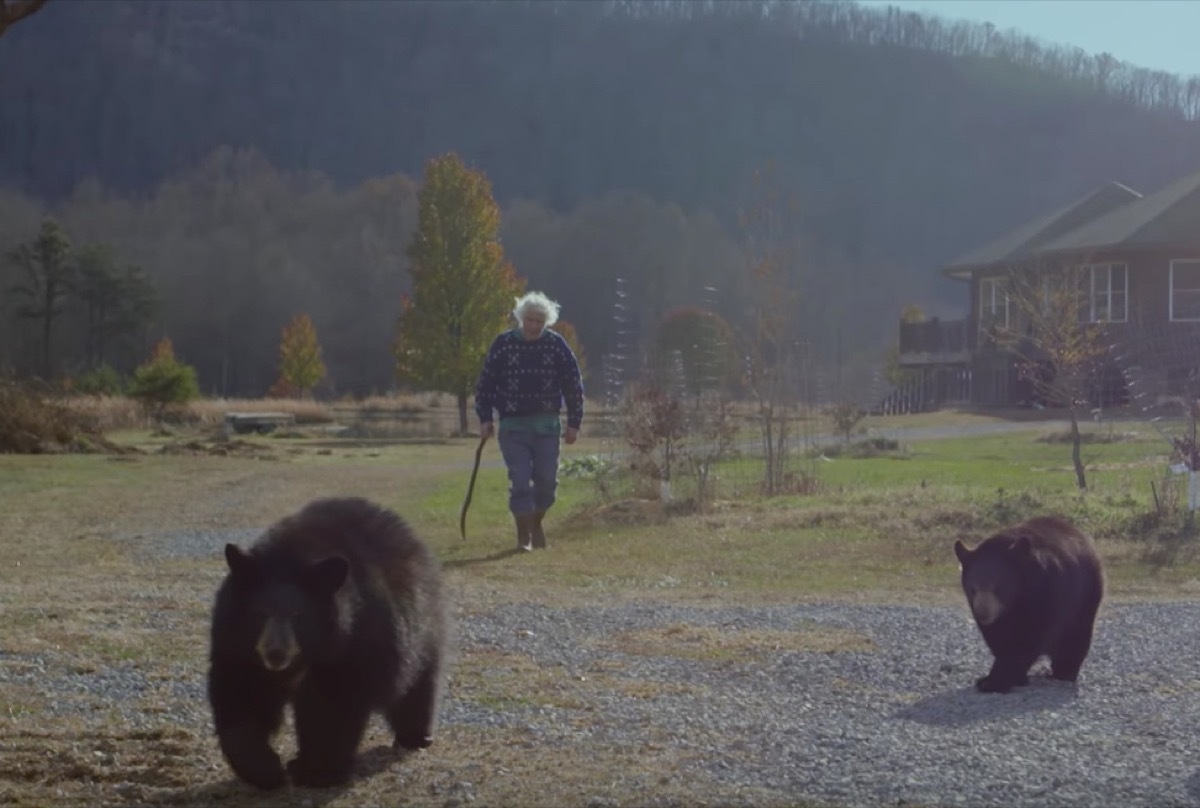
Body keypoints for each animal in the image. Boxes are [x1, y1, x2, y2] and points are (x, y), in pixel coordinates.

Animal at [207, 496, 447, 790]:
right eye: (260, 613)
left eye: (298, 616)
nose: (275, 653)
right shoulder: (237, 643)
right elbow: (241, 695)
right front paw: (265, 769)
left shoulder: (353, 643)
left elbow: (331, 709)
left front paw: (314, 771)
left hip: (421, 628)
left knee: (417, 684)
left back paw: (415, 736)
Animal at [954, 515, 1104, 694]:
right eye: (973, 588)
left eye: (998, 586)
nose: (983, 613)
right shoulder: (998, 617)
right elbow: (999, 638)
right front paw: (1000, 678)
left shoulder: (1047, 591)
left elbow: (1026, 639)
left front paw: (995, 681)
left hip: (1085, 596)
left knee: (1076, 635)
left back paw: (1064, 672)